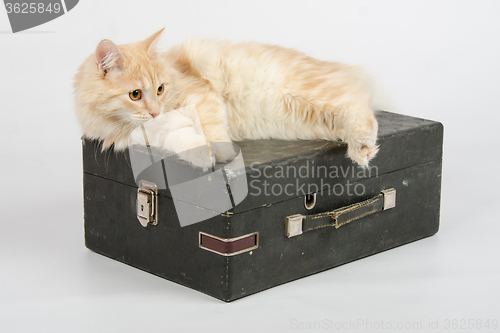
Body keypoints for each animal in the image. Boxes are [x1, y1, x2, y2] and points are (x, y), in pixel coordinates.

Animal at [73, 28, 378, 169]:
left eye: (160, 89)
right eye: (135, 94)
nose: (156, 111)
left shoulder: (200, 94)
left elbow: (211, 129)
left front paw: (221, 155)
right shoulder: (150, 136)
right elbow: (183, 140)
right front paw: (203, 156)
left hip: (309, 93)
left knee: (360, 107)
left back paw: (363, 146)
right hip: (310, 119)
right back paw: (361, 149)